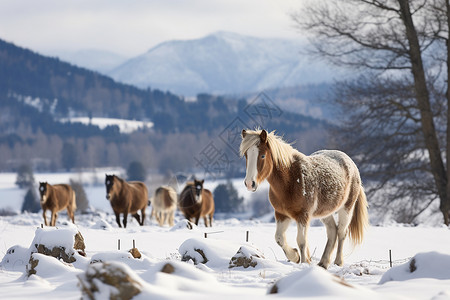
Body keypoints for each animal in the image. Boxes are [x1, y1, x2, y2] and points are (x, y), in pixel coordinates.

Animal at [241, 129, 368, 270]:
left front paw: (303, 262)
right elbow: (279, 238)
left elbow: (301, 241)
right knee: (332, 231)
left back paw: (338, 262)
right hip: (324, 213)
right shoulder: (281, 214)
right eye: (246, 155)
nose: (249, 183)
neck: (290, 180)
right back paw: (323, 263)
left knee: (341, 232)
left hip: (346, 208)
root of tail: (351, 163)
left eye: (262, 156)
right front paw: (295, 256)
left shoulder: (303, 215)